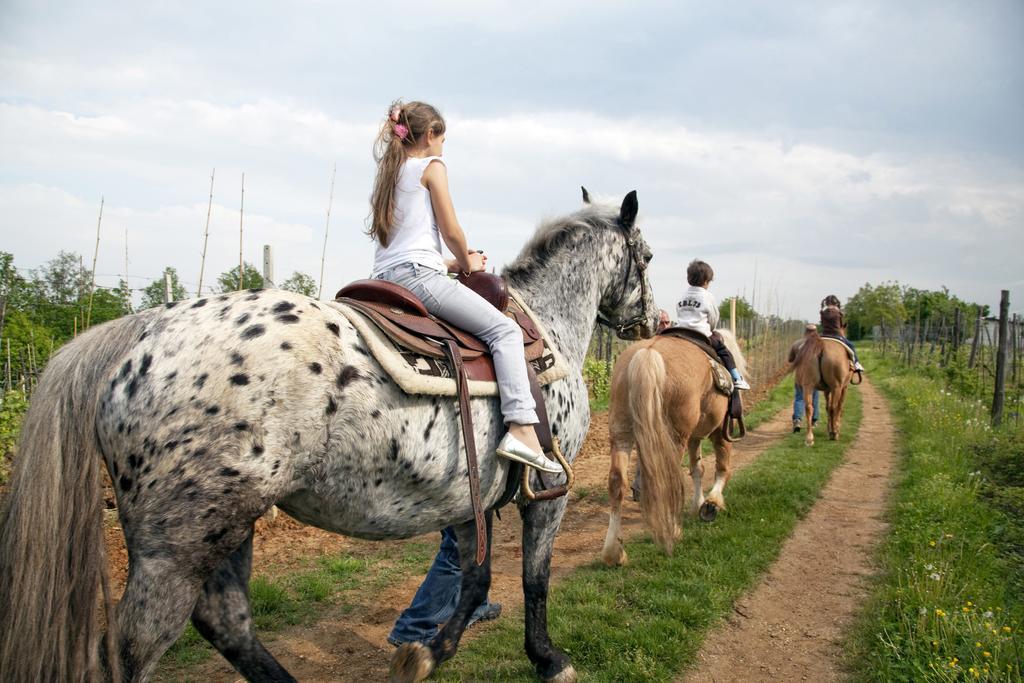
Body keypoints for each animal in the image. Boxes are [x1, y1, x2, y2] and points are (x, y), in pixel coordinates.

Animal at [0, 189, 655, 683]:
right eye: (646, 256)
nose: (652, 320)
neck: (545, 324)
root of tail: (142, 329)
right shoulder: (548, 490)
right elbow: (533, 579)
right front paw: (548, 659)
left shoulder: (470, 500)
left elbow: (475, 580)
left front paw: (428, 654)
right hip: (178, 548)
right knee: (138, 644)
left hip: (225, 527)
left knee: (227, 621)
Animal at [598, 327, 749, 565]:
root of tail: (648, 354)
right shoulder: (720, 431)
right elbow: (722, 468)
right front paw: (711, 503)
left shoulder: (694, 437)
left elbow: (697, 469)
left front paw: (698, 504)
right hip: (674, 438)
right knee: (667, 481)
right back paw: (674, 532)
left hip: (621, 433)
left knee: (616, 483)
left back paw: (614, 553)